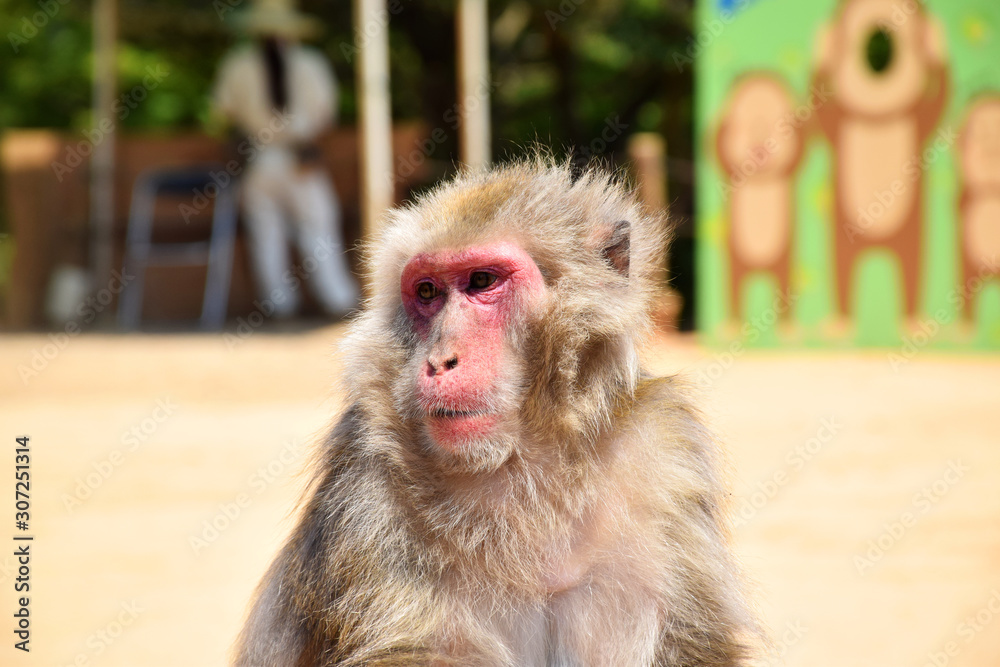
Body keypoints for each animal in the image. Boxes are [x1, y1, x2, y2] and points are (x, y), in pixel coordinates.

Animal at [233, 158, 758, 666]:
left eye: (482, 281)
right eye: (427, 292)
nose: (440, 360)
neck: (521, 463)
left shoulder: (666, 454)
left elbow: (693, 645)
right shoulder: (365, 486)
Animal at [813, 0, 949, 319]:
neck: (877, 120)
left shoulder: (920, 123)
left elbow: (936, 104)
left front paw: (936, 43)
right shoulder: (837, 126)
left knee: (911, 271)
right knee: (843, 270)